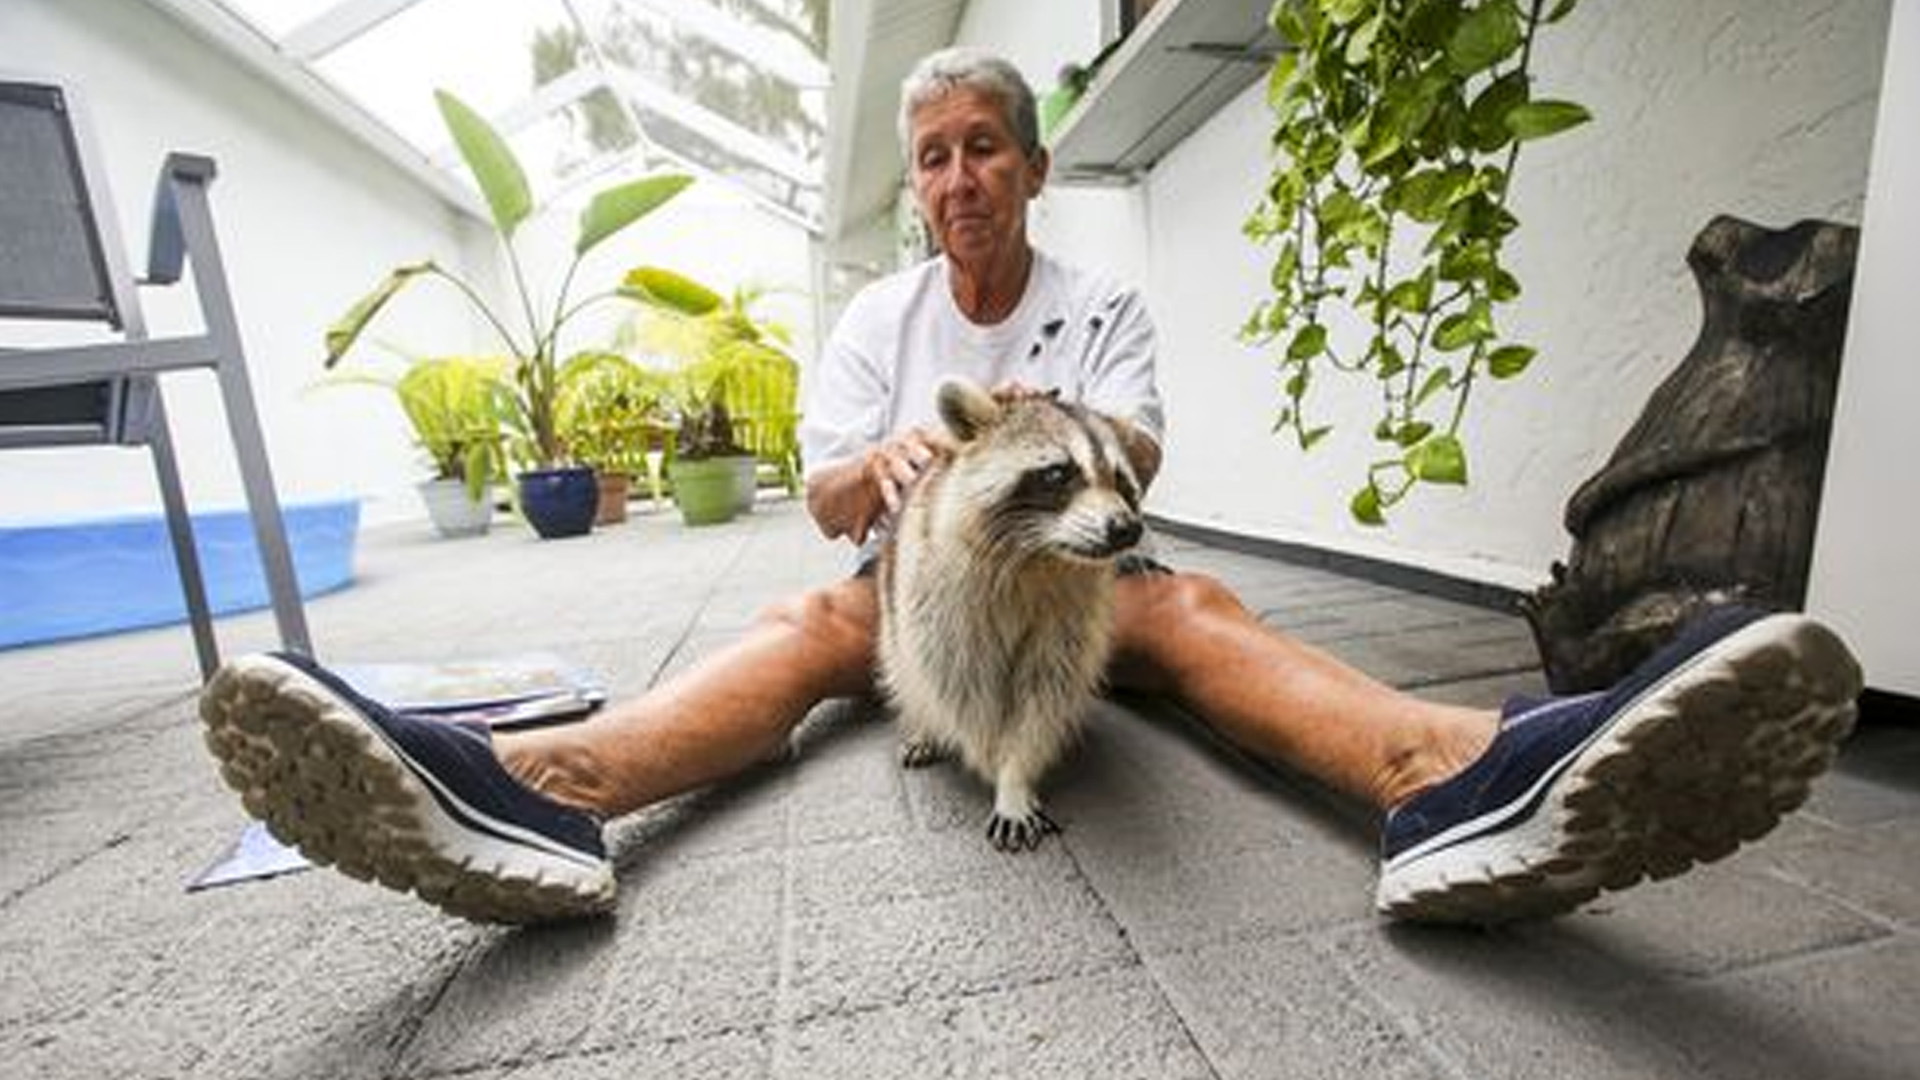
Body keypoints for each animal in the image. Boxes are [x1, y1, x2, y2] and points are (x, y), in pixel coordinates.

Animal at [877, 377, 1150, 851]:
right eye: (1058, 473)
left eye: (1121, 481)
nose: (1126, 529)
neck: (1038, 557)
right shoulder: (939, 598)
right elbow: (961, 686)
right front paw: (993, 761)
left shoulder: (1072, 618)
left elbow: (1047, 691)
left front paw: (1015, 774)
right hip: (894, 611)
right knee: (908, 672)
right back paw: (925, 724)